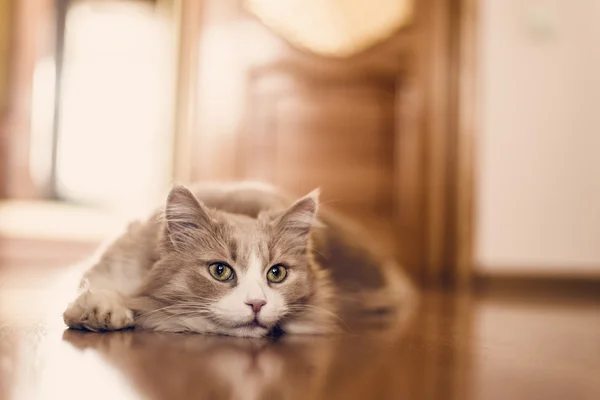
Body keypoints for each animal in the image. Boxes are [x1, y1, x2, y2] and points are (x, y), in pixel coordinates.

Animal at [63, 182, 414, 338]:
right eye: (220, 271)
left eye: (277, 274)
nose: (257, 304)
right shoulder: (117, 261)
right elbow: (96, 287)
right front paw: (100, 312)